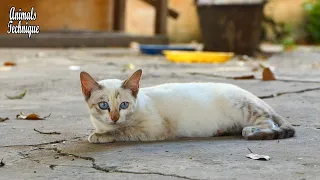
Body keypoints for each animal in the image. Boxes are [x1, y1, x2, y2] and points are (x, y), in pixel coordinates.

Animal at [80, 69, 296, 143]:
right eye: (104, 105)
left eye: (124, 105)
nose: (115, 118)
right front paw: (100, 131)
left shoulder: (153, 129)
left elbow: (123, 131)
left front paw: (99, 136)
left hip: (245, 109)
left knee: (269, 123)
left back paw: (250, 131)